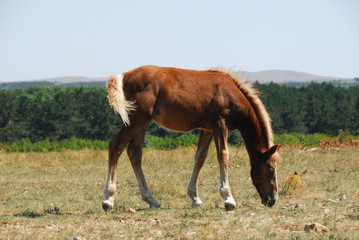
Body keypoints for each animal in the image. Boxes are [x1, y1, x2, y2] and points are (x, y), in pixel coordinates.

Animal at [101, 64, 282, 211]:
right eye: (271, 170)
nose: (272, 200)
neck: (231, 92)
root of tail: (124, 75)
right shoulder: (220, 124)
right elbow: (223, 155)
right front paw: (228, 198)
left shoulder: (208, 129)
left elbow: (200, 158)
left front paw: (195, 198)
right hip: (135, 120)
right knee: (116, 146)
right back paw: (108, 199)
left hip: (142, 122)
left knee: (134, 153)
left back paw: (151, 200)